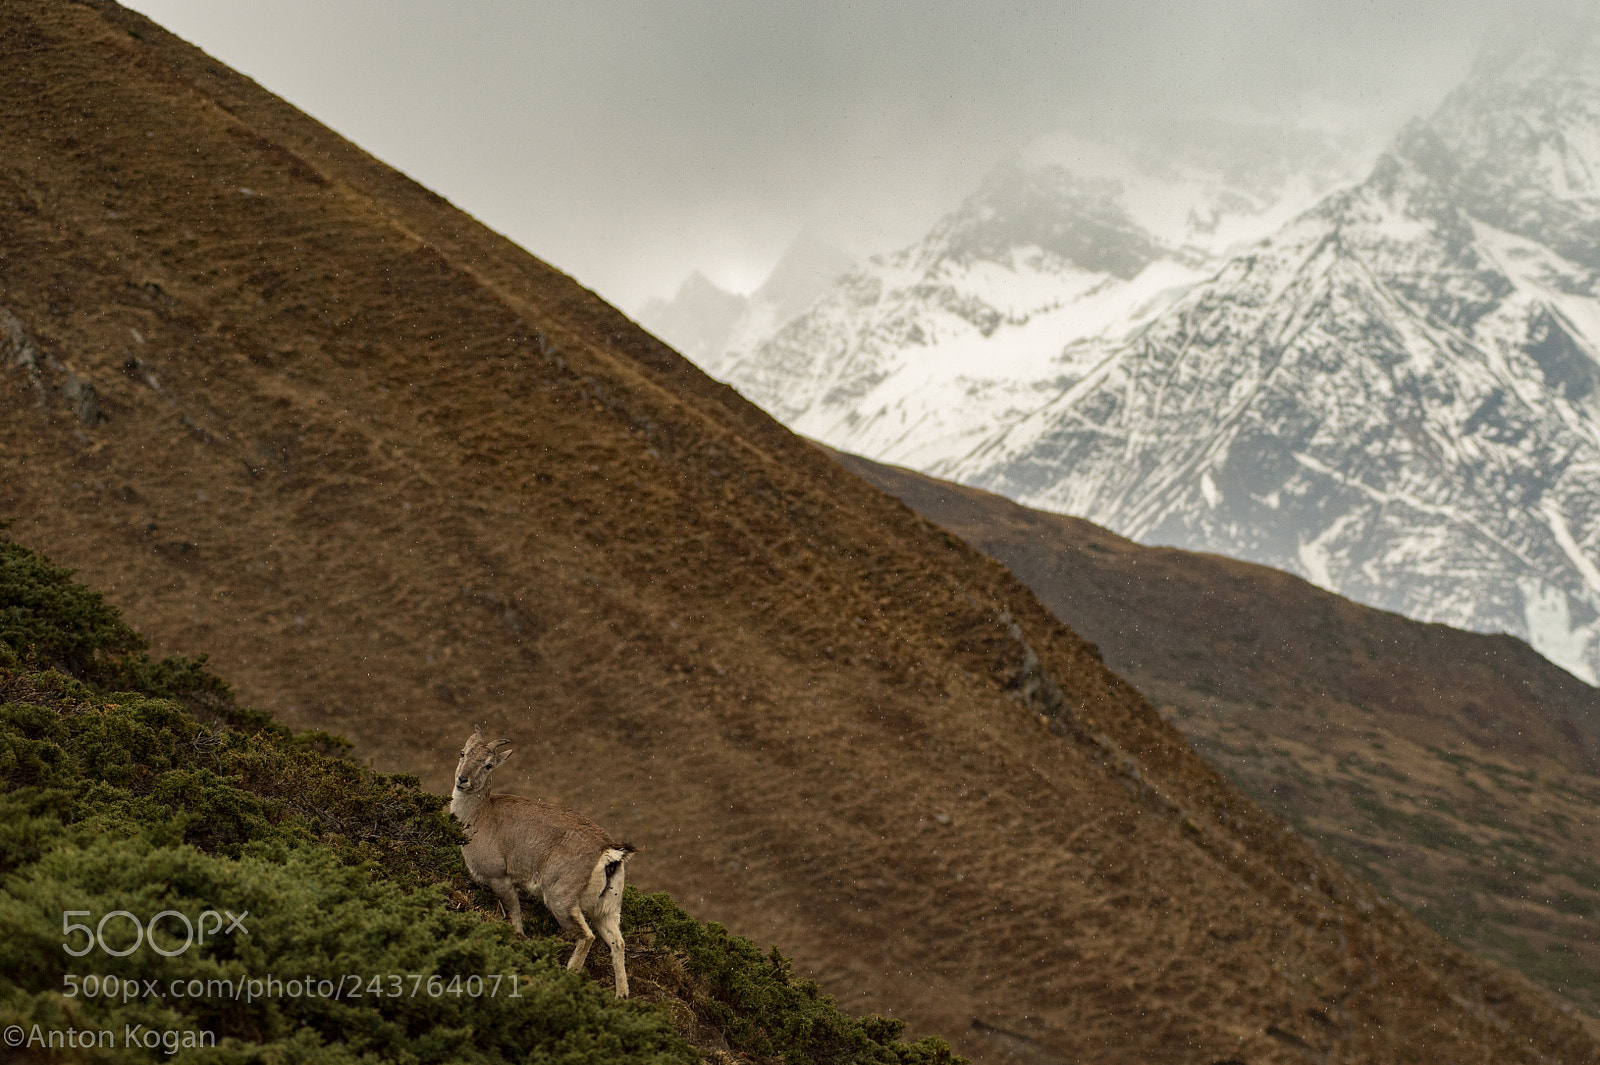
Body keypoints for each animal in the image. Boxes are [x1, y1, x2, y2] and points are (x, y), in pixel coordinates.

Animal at [450, 726, 634, 997]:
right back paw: (621, 995)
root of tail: (609, 853)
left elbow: (515, 917)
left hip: (561, 897)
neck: (479, 817)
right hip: (608, 907)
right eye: (463, 752)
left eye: (488, 765)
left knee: (587, 936)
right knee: (617, 942)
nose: (462, 779)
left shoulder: (500, 878)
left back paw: (568, 975)